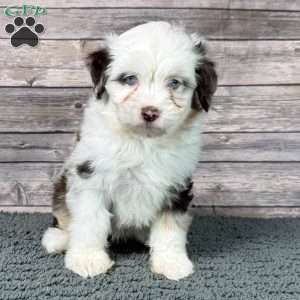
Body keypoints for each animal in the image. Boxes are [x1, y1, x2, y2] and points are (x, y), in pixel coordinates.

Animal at [41, 21, 217, 282]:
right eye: (130, 79)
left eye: (174, 83)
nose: (150, 112)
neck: (142, 141)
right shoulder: (90, 176)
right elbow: (90, 221)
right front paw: (88, 259)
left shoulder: (177, 184)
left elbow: (170, 226)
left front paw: (171, 262)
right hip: (62, 186)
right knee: (63, 216)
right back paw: (58, 239)